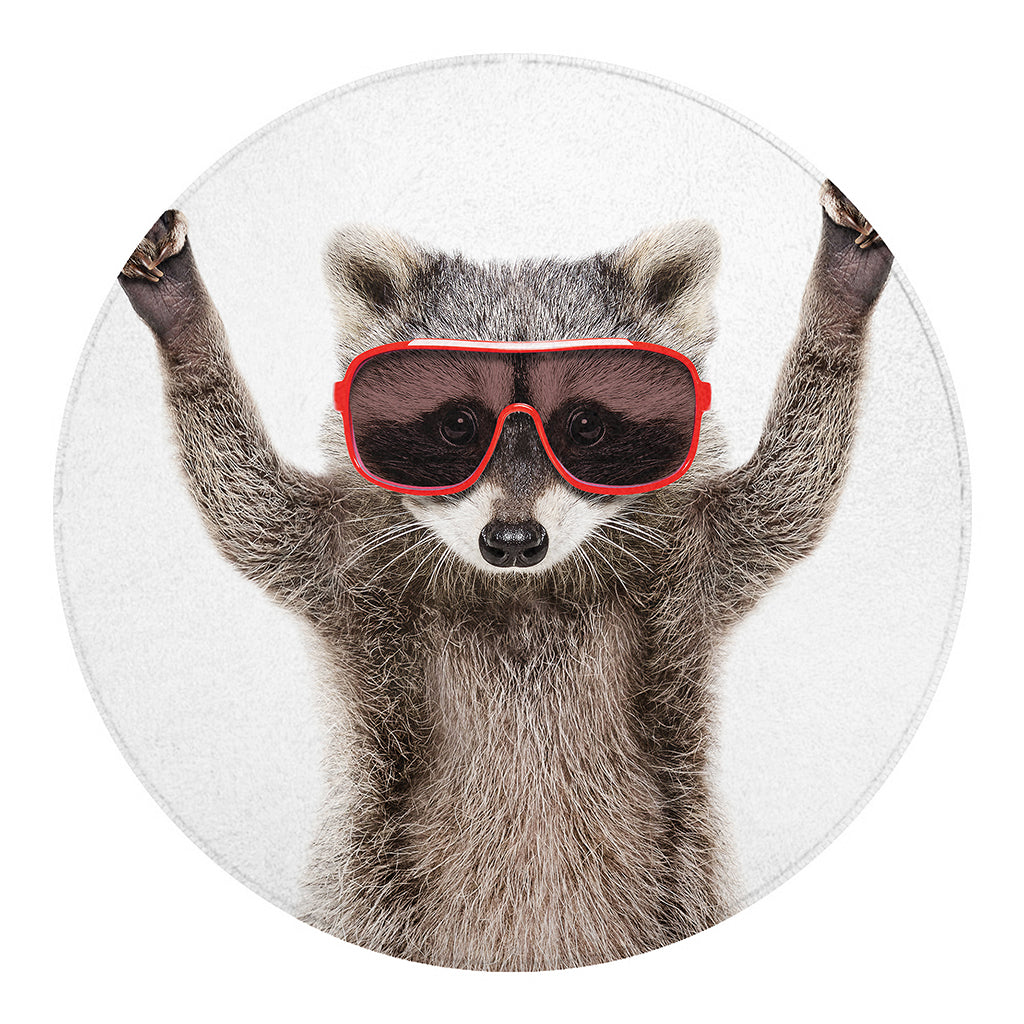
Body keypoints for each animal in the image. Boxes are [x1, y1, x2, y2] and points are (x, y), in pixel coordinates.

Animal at [119, 181, 893, 970]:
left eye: (584, 427)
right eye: (458, 425)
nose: (514, 541)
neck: (525, 593)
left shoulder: (697, 561)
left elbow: (788, 497)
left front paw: (837, 305)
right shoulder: (347, 563)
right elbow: (250, 511)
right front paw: (189, 335)